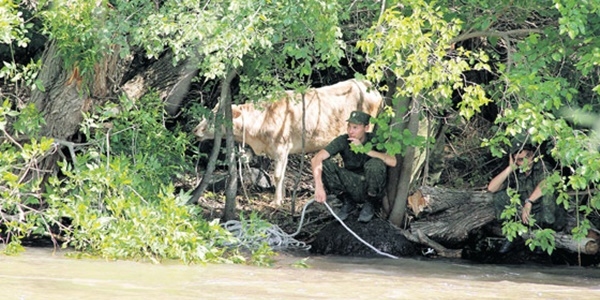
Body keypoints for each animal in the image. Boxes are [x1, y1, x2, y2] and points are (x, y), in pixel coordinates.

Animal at [197, 79, 384, 206]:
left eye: (216, 117)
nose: (195, 130)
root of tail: (370, 86)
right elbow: (281, 174)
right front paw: (282, 196)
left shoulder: (281, 147)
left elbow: (278, 175)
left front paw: (276, 201)